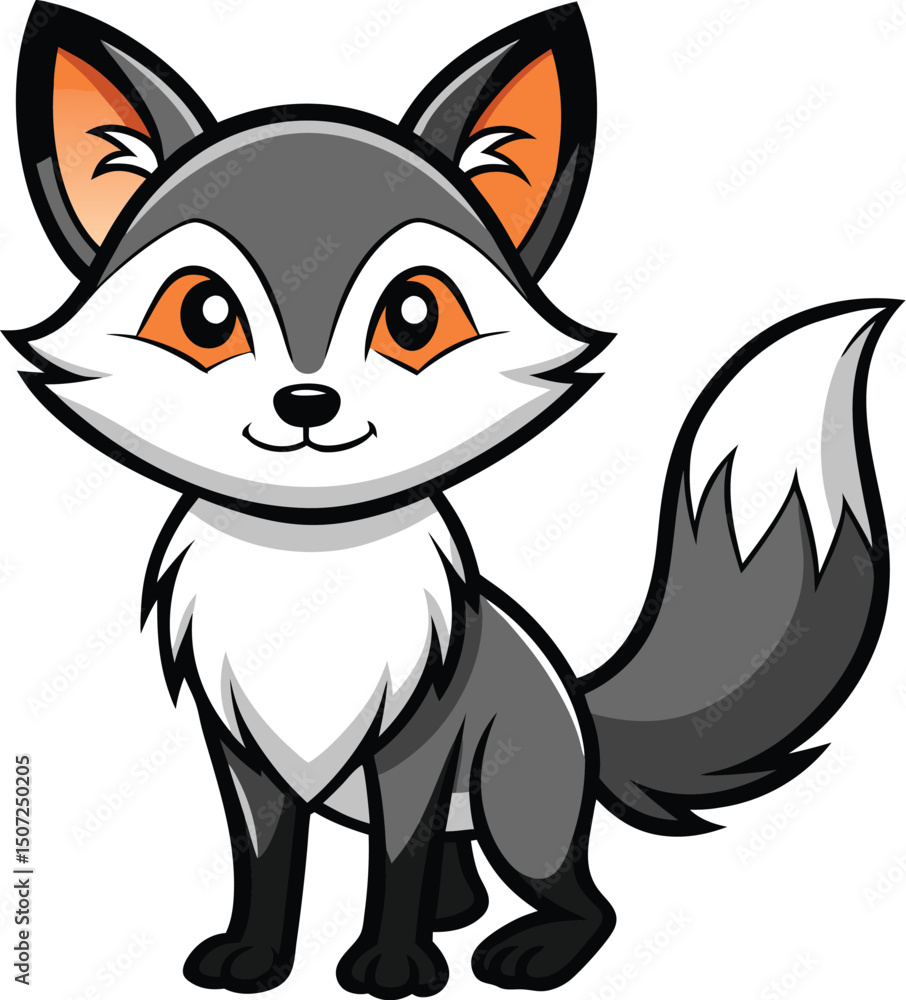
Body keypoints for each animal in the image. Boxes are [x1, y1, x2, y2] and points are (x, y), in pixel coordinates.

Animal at [6, 2, 895, 996]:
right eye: (203, 317)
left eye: (415, 317)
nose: (307, 402)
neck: (307, 570)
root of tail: (578, 704)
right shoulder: (245, 752)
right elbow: (265, 864)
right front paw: (254, 960)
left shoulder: (415, 747)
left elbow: (398, 861)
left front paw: (391, 967)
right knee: (464, 877)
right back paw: (457, 918)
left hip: (517, 804)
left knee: (583, 899)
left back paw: (529, 950)